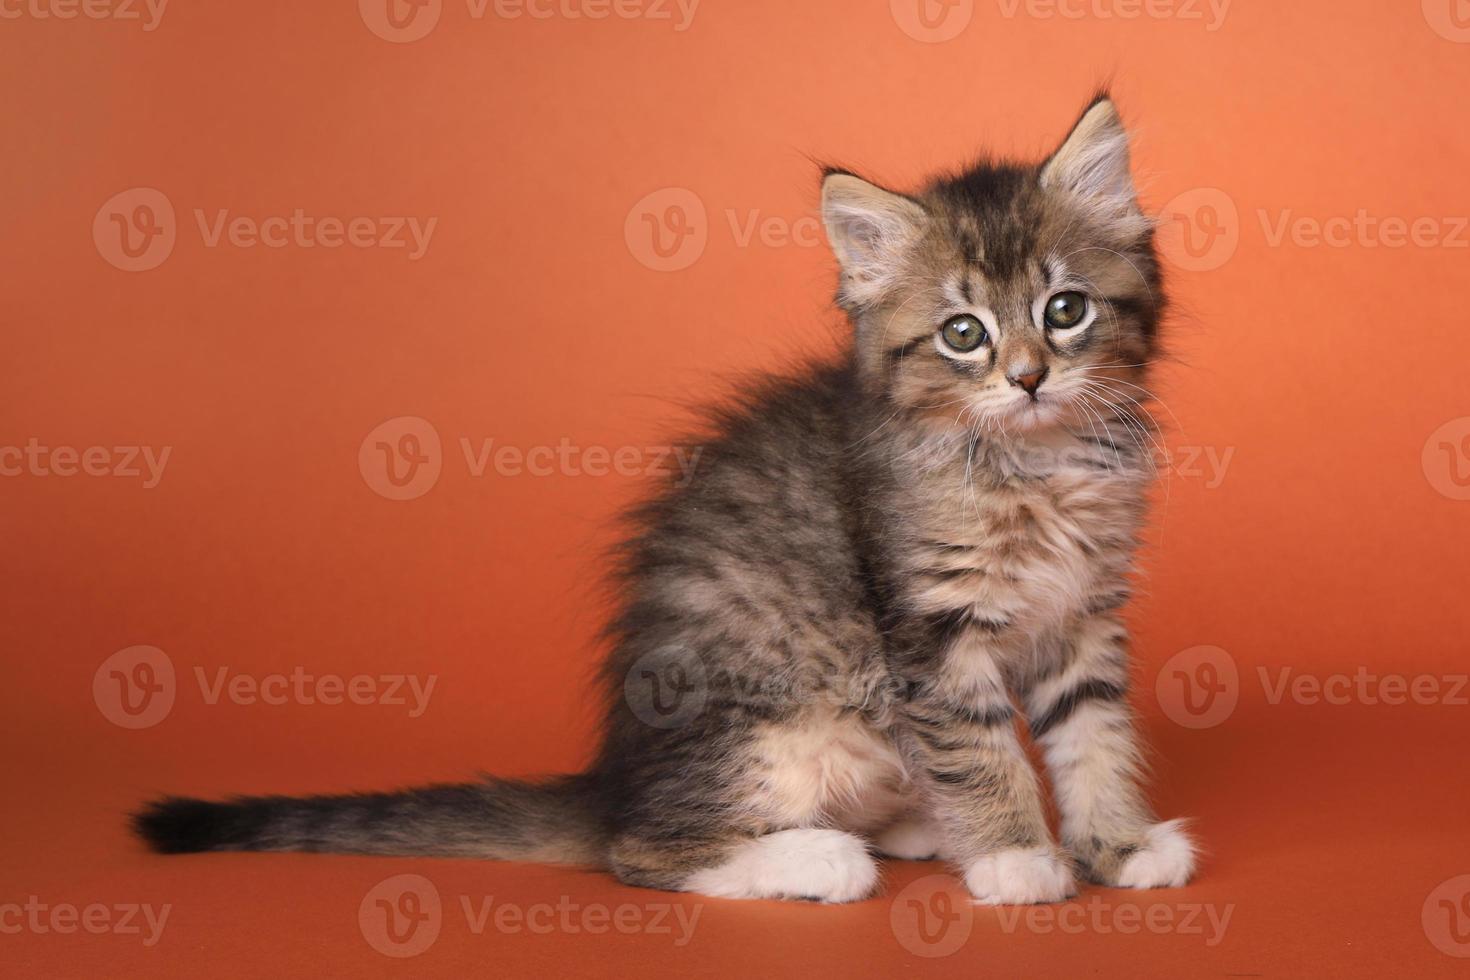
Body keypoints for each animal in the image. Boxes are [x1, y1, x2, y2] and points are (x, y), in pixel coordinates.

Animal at [132, 95, 1193, 910]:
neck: (1037, 466)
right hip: (789, 724)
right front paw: (1017, 859)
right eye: (963, 333)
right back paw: (824, 856)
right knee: (644, 851)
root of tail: (613, 777)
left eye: (1065, 311)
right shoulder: (933, 631)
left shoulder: (1083, 614)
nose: (1027, 378)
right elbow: (980, 750)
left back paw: (910, 826)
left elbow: (1093, 736)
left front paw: (1119, 845)